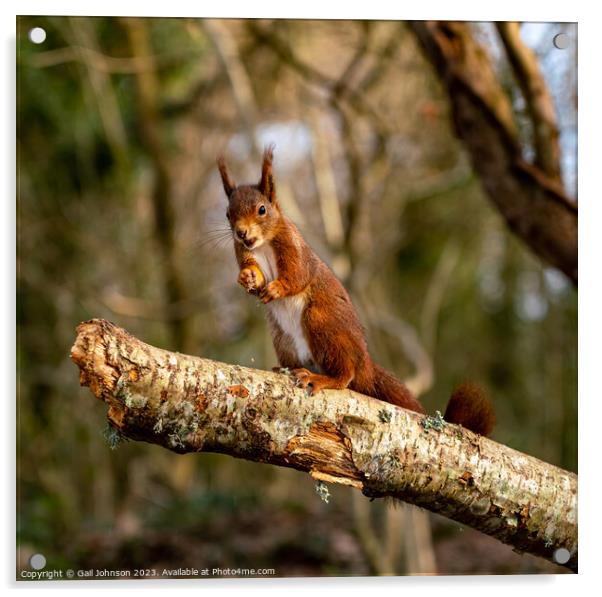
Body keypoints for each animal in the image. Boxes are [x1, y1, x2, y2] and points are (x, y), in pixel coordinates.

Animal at [216, 147, 492, 436]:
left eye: (262, 209)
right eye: (227, 214)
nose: (241, 232)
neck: (262, 243)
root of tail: (365, 364)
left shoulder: (294, 249)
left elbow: (298, 276)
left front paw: (277, 287)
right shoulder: (244, 252)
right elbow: (253, 273)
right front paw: (246, 278)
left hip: (321, 322)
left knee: (345, 375)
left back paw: (321, 378)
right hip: (284, 339)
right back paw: (287, 368)